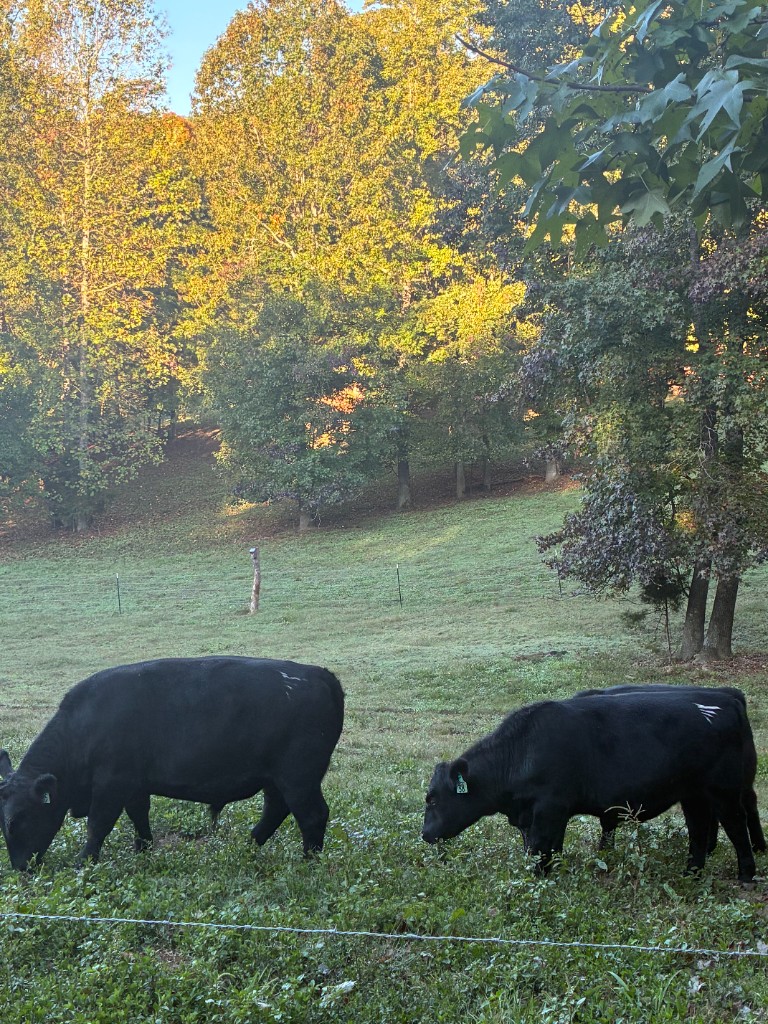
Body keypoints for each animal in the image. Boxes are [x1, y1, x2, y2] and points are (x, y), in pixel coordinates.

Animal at [0, 656, 344, 870]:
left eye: (16, 821)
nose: (20, 868)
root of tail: (321, 674)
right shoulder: (134, 785)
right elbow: (139, 816)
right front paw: (143, 849)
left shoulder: (112, 783)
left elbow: (98, 825)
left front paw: (83, 862)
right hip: (277, 779)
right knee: (275, 810)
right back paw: (248, 845)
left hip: (298, 777)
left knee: (312, 816)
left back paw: (308, 862)